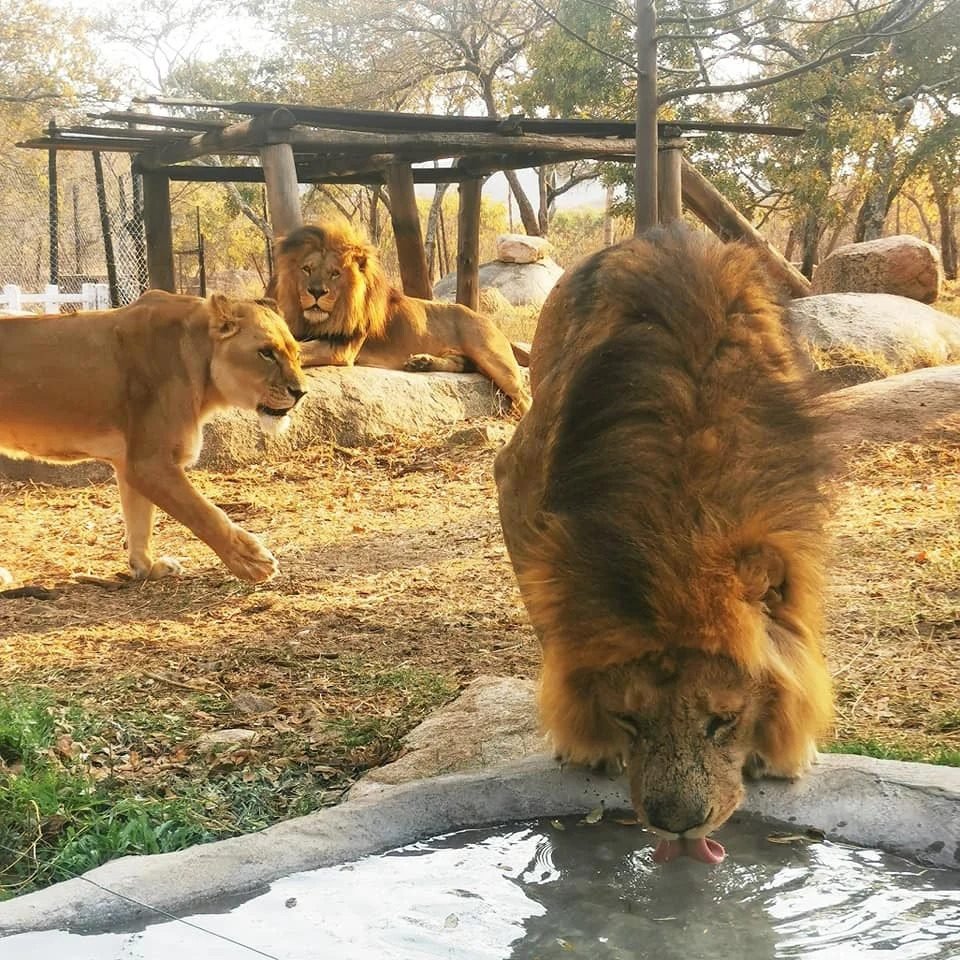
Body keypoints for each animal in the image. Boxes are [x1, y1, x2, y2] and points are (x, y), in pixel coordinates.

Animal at [0, 290, 307, 584]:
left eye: (297, 354)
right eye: (266, 353)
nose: (301, 392)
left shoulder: (129, 462)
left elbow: (139, 521)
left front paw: (146, 568)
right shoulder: (150, 463)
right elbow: (204, 513)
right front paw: (252, 561)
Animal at [268, 221, 531, 415]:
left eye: (335, 273)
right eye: (306, 269)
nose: (315, 292)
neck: (321, 318)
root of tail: (487, 320)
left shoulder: (341, 348)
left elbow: (303, 349)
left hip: (494, 359)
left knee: (525, 396)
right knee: (460, 364)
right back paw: (422, 362)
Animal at [495, 225, 833, 864]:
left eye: (724, 720)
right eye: (628, 718)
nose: (678, 826)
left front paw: (780, 752)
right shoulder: (516, 482)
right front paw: (585, 742)